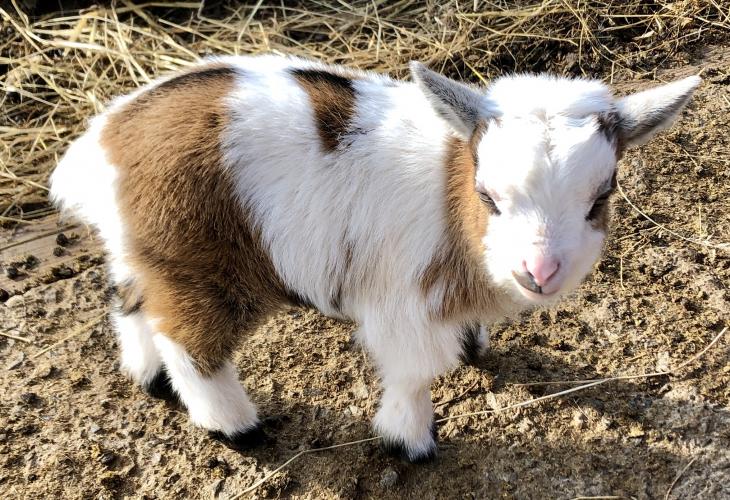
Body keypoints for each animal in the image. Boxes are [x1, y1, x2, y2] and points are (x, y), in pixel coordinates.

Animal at [50, 54, 700, 462]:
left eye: (602, 195)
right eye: (488, 195)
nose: (538, 273)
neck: (448, 191)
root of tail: (106, 141)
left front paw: (475, 345)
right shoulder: (403, 304)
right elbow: (414, 373)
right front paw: (409, 444)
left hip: (150, 254)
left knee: (131, 302)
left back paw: (149, 378)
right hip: (203, 267)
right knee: (190, 344)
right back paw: (237, 427)